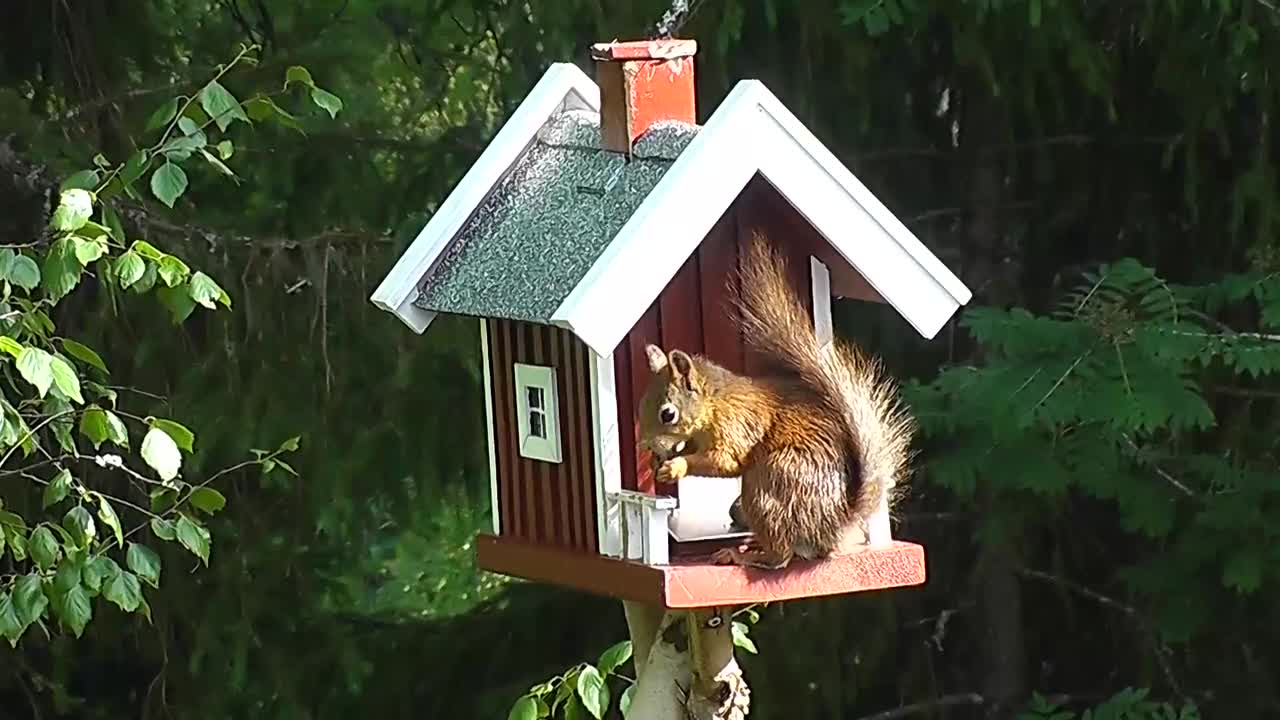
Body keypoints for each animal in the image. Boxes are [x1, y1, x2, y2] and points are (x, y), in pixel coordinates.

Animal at [634, 229, 916, 566]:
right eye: (641, 405)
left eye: (668, 414)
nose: (646, 447)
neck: (714, 404)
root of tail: (832, 529)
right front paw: (663, 460)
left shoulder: (735, 427)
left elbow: (723, 460)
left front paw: (675, 466)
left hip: (765, 483)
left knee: (780, 556)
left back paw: (742, 554)